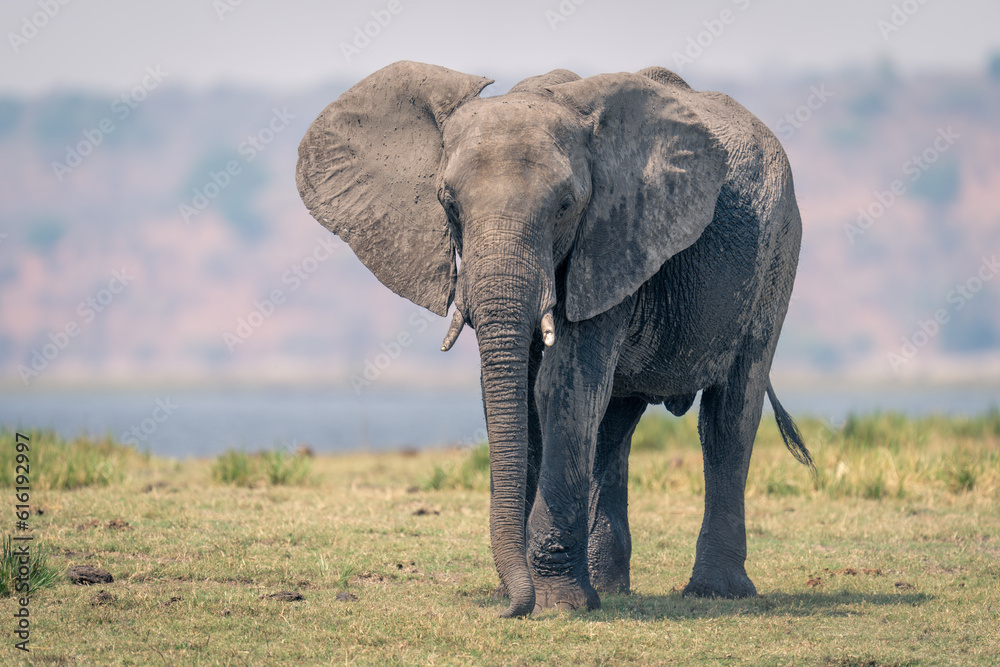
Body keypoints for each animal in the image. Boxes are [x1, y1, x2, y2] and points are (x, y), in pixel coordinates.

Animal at [294, 61, 812, 616]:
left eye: (565, 206)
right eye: (448, 205)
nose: (505, 607)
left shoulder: (611, 237)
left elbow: (561, 389)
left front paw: (556, 605)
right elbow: (519, 393)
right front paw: (535, 595)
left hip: (776, 254)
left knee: (729, 414)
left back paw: (714, 592)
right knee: (613, 424)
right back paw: (609, 588)